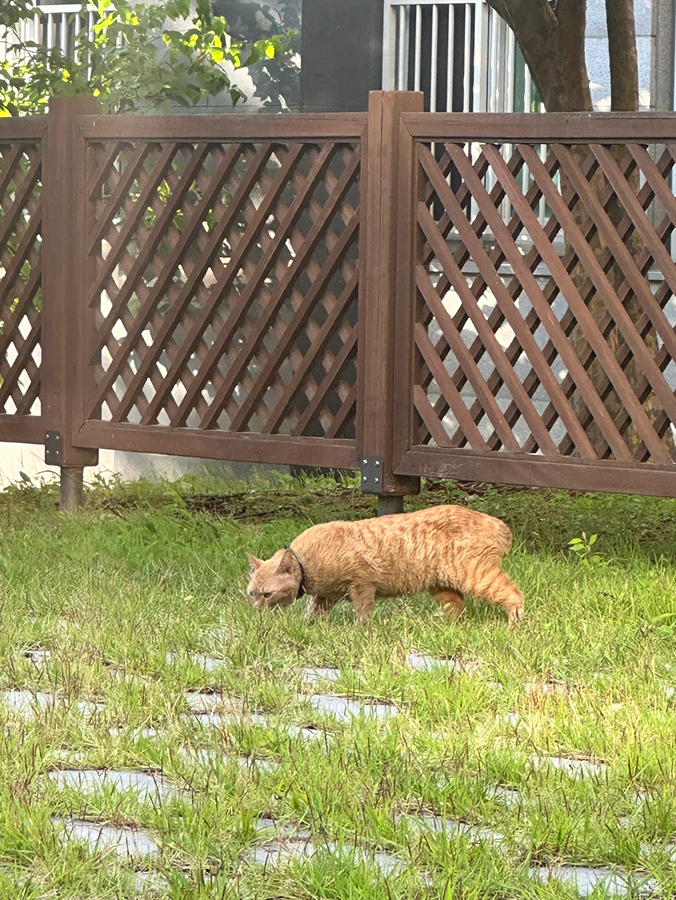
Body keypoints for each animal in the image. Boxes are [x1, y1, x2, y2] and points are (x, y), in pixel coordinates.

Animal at [247, 506, 524, 624]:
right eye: (251, 594)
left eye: (267, 594)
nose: (256, 610)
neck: (306, 562)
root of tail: (497, 523)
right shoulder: (326, 596)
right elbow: (312, 613)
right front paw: (306, 626)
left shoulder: (362, 585)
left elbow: (362, 613)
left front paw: (361, 631)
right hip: (441, 585)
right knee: (457, 608)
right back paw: (444, 627)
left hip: (476, 576)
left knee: (513, 595)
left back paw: (514, 625)